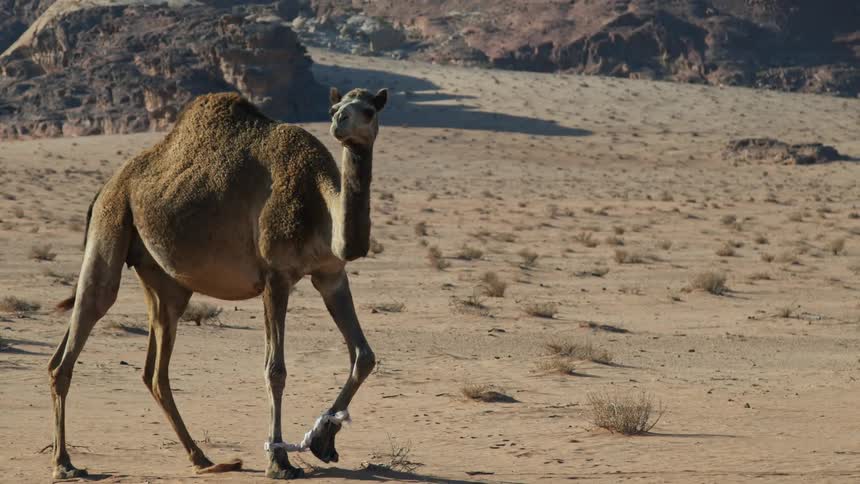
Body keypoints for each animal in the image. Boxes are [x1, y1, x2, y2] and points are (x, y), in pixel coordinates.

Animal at [48, 86, 387, 479]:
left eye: (368, 110)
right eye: (334, 108)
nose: (339, 123)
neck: (320, 207)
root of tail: (107, 185)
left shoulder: (331, 274)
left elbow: (364, 356)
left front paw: (322, 440)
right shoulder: (275, 275)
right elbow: (275, 370)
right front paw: (279, 461)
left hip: (163, 279)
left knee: (154, 370)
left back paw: (201, 458)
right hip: (112, 221)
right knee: (88, 317)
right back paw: (63, 463)